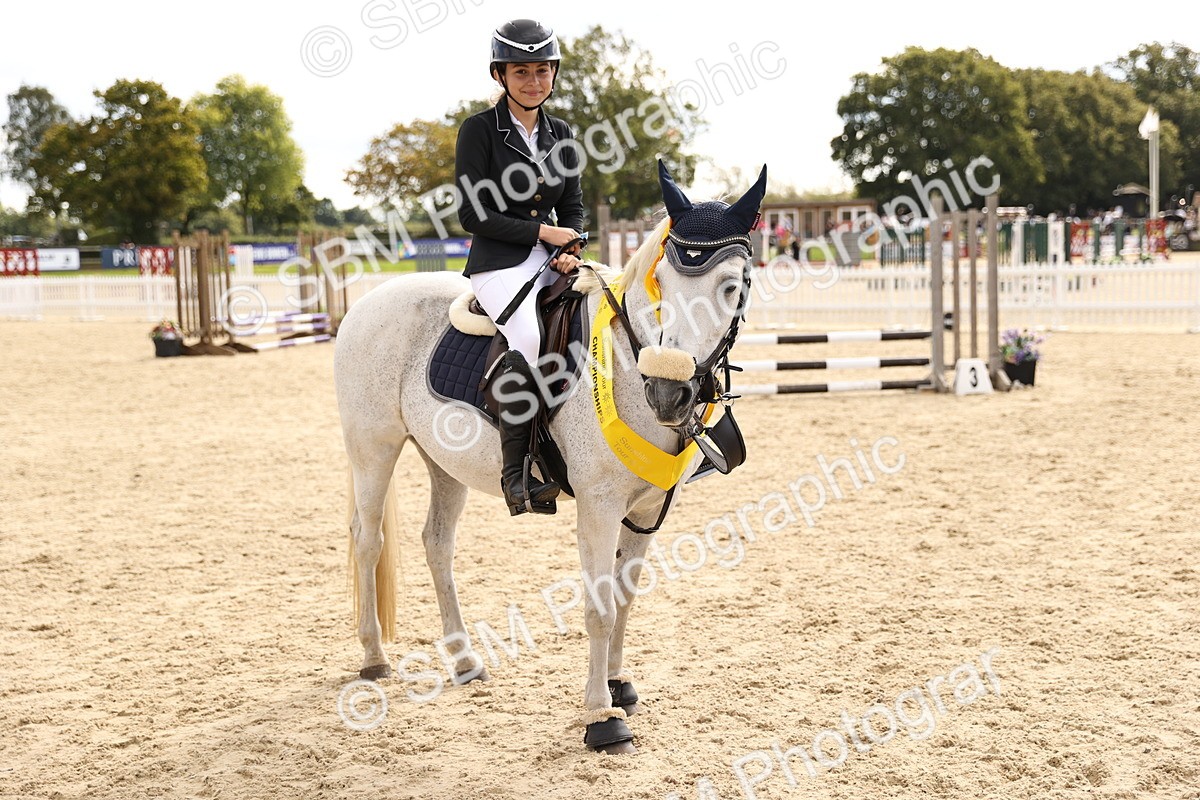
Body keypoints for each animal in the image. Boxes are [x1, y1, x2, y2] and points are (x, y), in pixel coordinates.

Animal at [334, 162, 767, 752]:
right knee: (368, 540)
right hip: (373, 449)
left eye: (733, 286)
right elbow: (599, 607)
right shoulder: (599, 507)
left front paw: (618, 684)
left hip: (442, 464)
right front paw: (602, 717)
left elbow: (625, 598)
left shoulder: (646, 509)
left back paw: (464, 660)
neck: (626, 367)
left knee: (436, 544)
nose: (667, 393)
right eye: (662, 282)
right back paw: (374, 658)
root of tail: (368, 300)